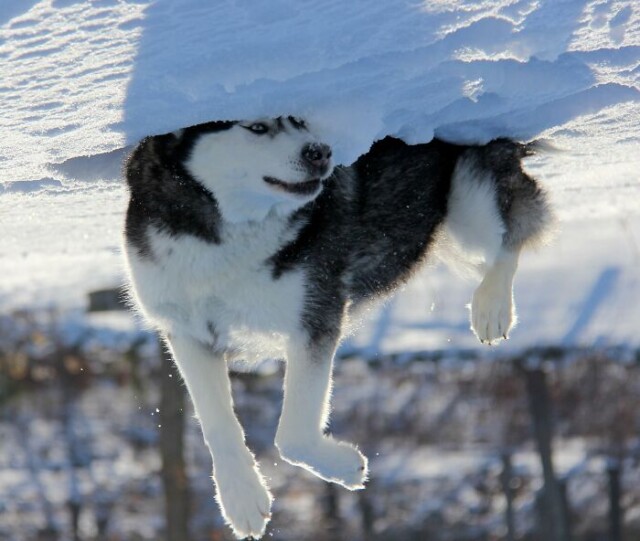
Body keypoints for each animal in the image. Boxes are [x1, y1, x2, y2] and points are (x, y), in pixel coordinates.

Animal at [122, 116, 552, 536]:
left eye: (298, 119)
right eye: (256, 127)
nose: (321, 152)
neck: (222, 231)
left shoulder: (314, 317)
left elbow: (293, 436)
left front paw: (345, 467)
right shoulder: (188, 330)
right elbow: (217, 424)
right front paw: (240, 496)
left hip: (469, 198)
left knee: (510, 236)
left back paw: (491, 305)